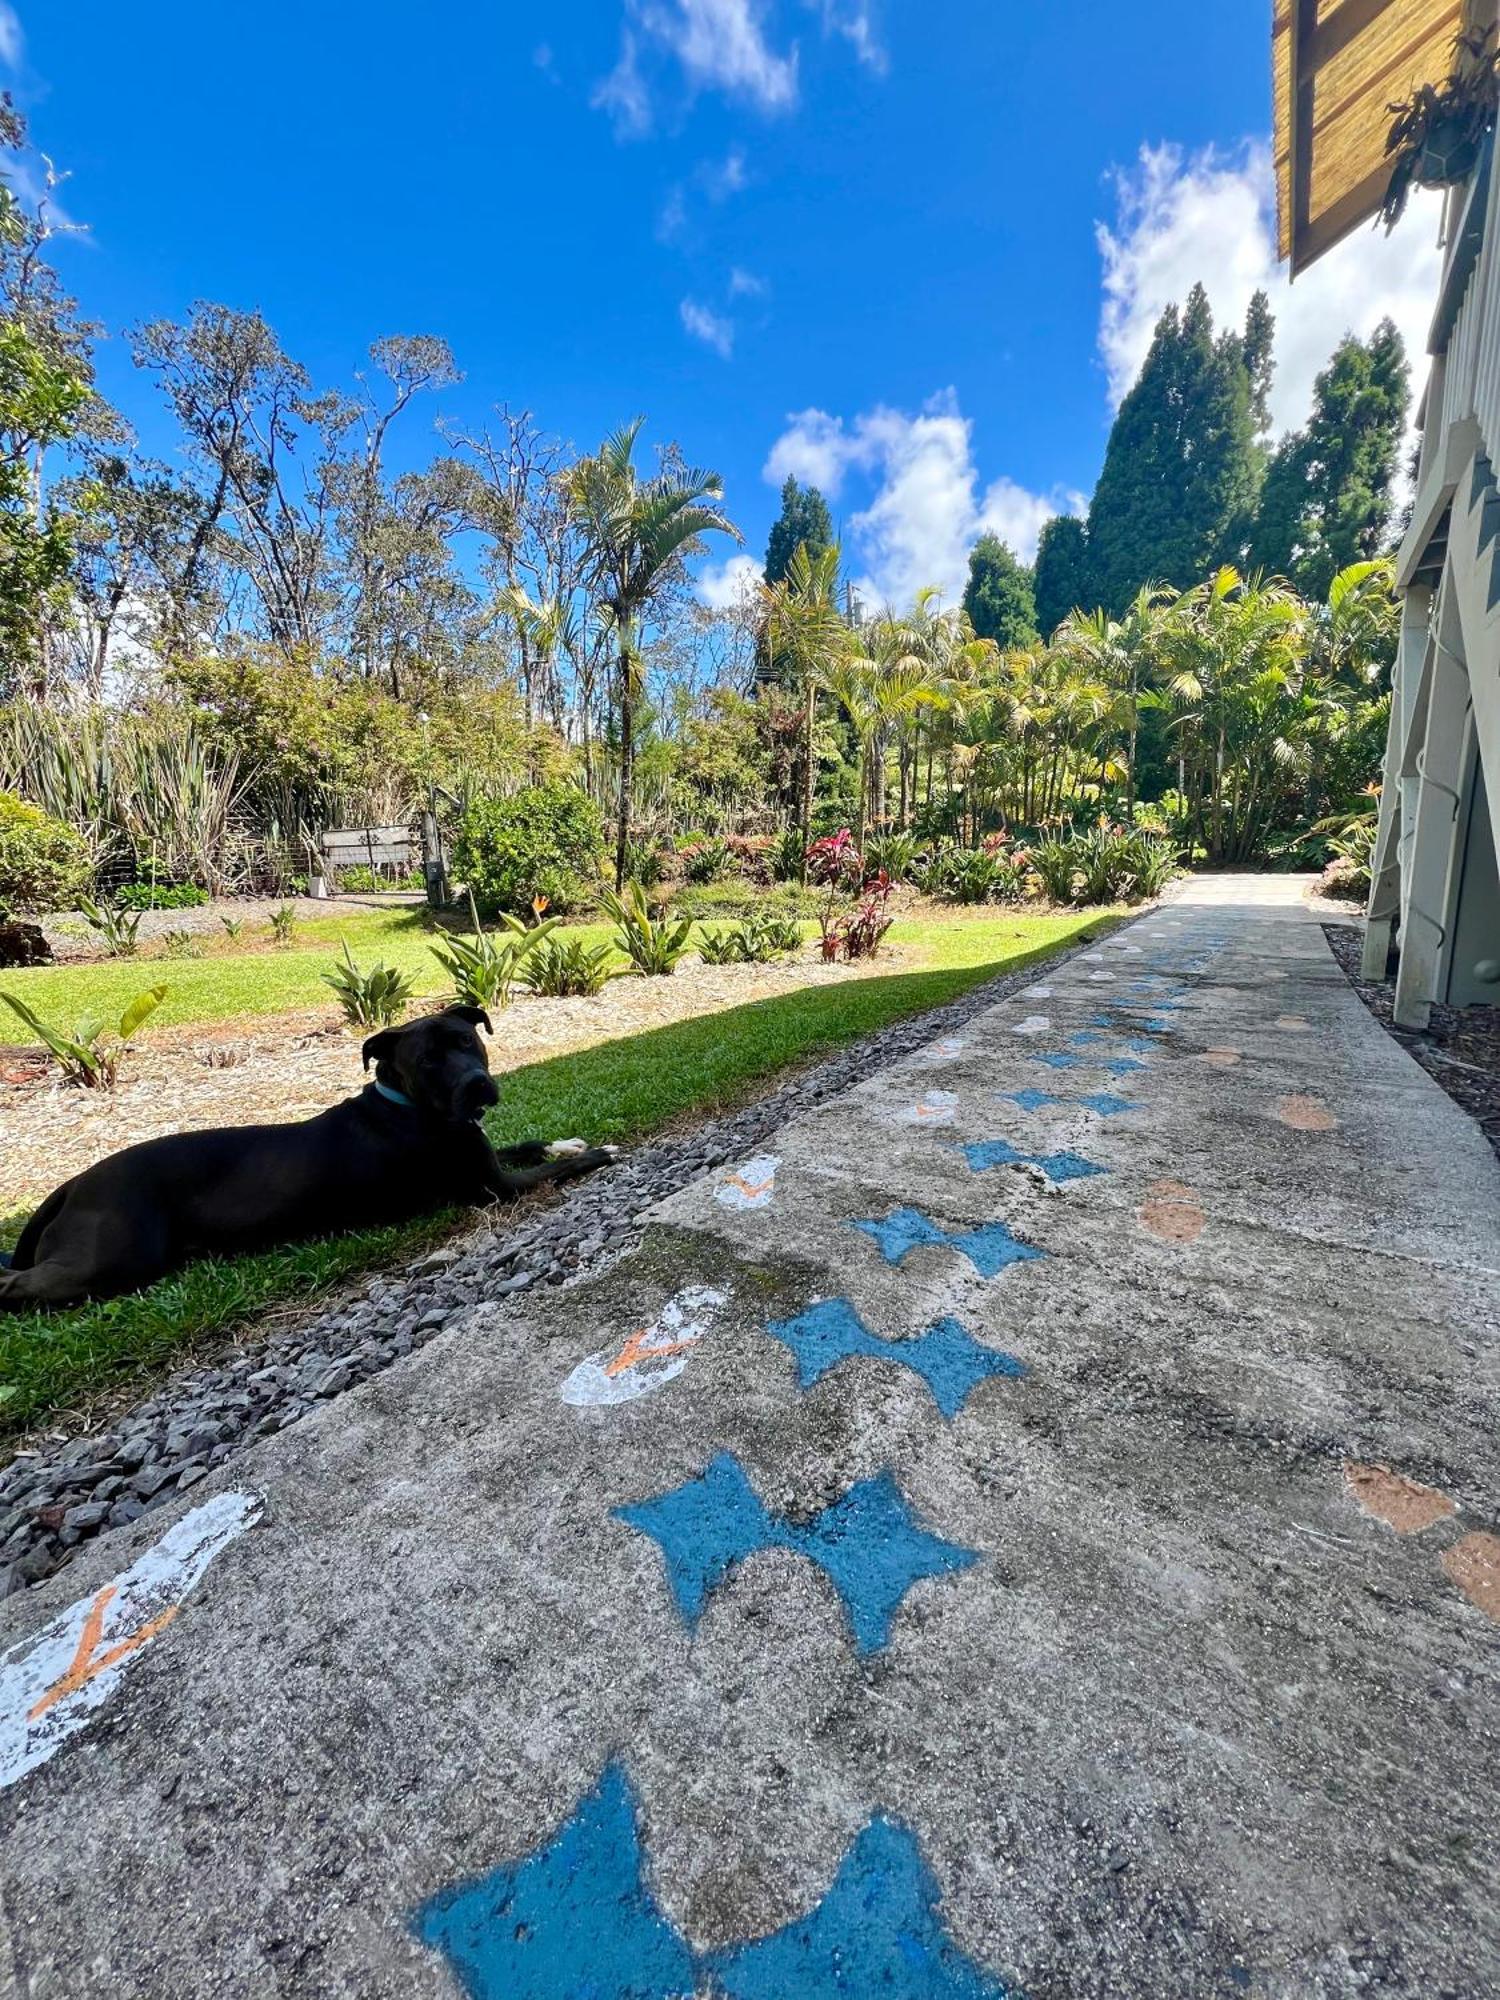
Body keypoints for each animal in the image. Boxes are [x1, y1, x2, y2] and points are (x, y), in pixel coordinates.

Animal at [0, 1000, 616, 1312]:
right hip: (115, 1255)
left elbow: (533, 1143)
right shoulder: (494, 1187)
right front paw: (600, 1154)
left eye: (468, 1041)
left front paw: (568, 1140)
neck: (407, 1103)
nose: (477, 1086)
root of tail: (74, 1183)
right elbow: (554, 1169)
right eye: (427, 1061)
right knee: (17, 1283)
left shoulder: (484, 1152)